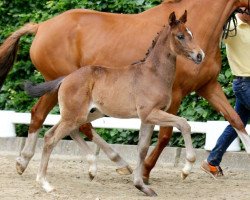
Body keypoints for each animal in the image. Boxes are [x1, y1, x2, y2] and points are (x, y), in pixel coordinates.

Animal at [25, 10, 204, 195]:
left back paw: (91, 169)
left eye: (191, 34)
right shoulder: (150, 113)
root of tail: (65, 78)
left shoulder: (147, 119)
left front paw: (142, 186)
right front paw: (186, 169)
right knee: (51, 139)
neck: (154, 74)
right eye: (180, 36)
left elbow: (142, 149)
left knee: (61, 132)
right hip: (75, 115)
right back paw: (45, 183)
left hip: (85, 114)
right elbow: (184, 124)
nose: (200, 55)